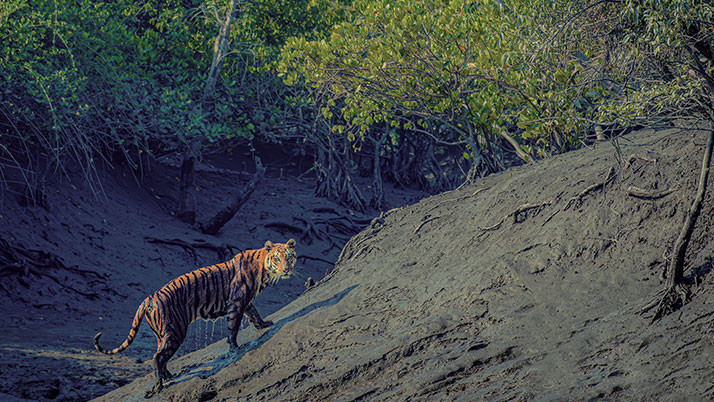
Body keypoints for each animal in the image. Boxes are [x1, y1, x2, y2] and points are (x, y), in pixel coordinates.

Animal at [94, 239, 297, 396]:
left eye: (289, 257)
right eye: (277, 258)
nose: (286, 270)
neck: (263, 269)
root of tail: (150, 297)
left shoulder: (245, 302)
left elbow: (254, 314)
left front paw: (264, 324)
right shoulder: (236, 302)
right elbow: (233, 327)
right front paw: (235, 348)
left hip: (162, 333)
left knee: (161, 355)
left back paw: (170, 376)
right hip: (175, 331)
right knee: (158, 357)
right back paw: (159, 385)